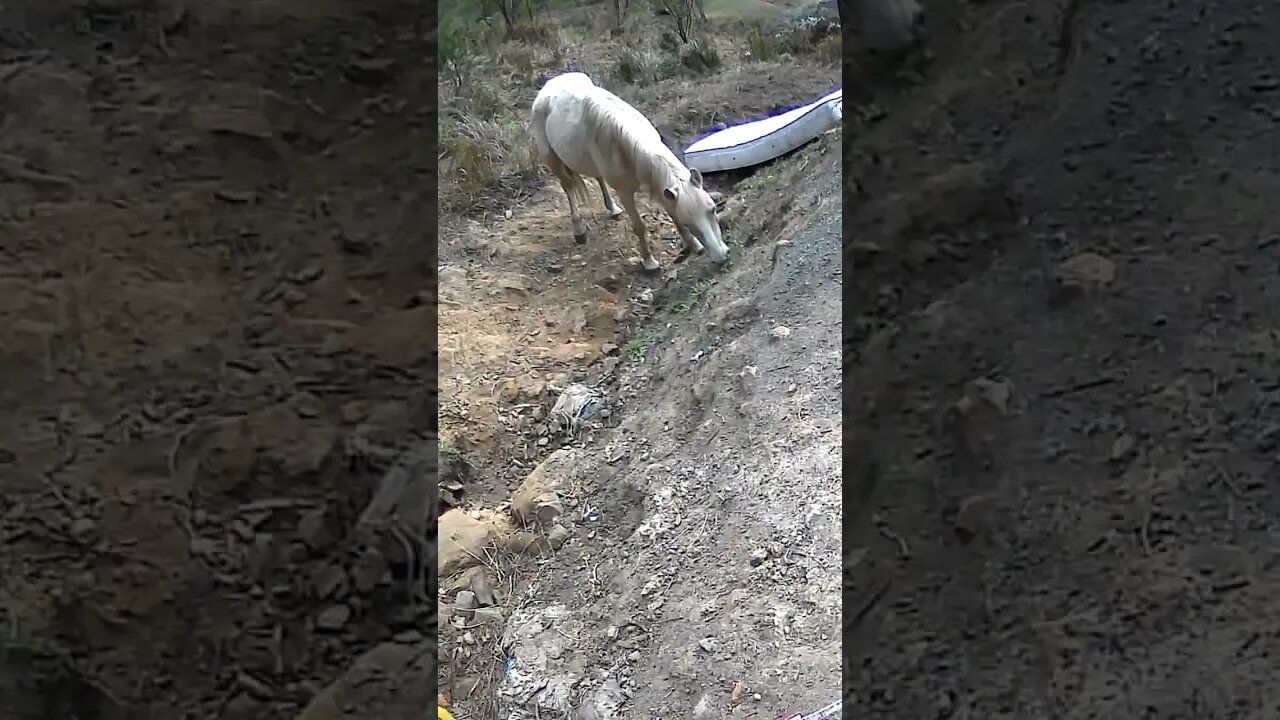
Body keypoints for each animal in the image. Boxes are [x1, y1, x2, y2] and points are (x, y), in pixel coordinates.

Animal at [530, 71, 728, 273]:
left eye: (712, 209)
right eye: (690, 222)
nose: (721, 256)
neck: (625, 144)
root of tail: (550, 84)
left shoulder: (659, 186)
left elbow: (673, 214)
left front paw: (694, 245)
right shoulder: (625, 193)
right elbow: (639, 226)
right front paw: (649, 262)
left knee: (598, 178)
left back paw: (613, 209)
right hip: (552, 159)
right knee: (568, 187)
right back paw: (579, 230)